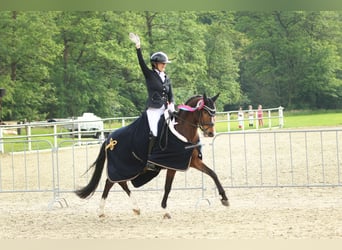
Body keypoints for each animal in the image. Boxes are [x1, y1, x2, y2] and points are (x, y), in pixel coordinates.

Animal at [76, 93, 228, 219]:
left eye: (214, 112)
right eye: (205, 111)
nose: (211, 133)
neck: (182, 131)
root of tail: (109, 139)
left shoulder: (193, 162)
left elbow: (213, 174)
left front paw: (224, 198)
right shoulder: (172, 165)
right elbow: (168, 187)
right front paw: (165, 211)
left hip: (132, 169)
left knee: (118, 183)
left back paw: (133, 209)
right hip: (125, 166)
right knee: (111, 182)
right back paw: (104, 211)